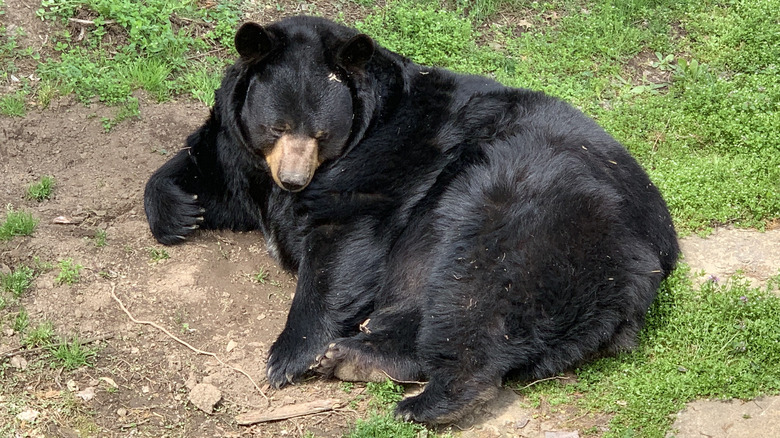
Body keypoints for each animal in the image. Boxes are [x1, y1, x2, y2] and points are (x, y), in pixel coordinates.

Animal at [145, 17, 676, 424]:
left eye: (321, 133)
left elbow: (342, 243)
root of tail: (650, 265)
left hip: (532, 216)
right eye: (276, 126)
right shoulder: (244, 153)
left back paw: (423, 401)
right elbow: (212, 168)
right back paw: (355, 357)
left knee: (478, 296)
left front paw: (286, 355)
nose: (294, 180)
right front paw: (179, 212)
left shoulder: (378, 166)